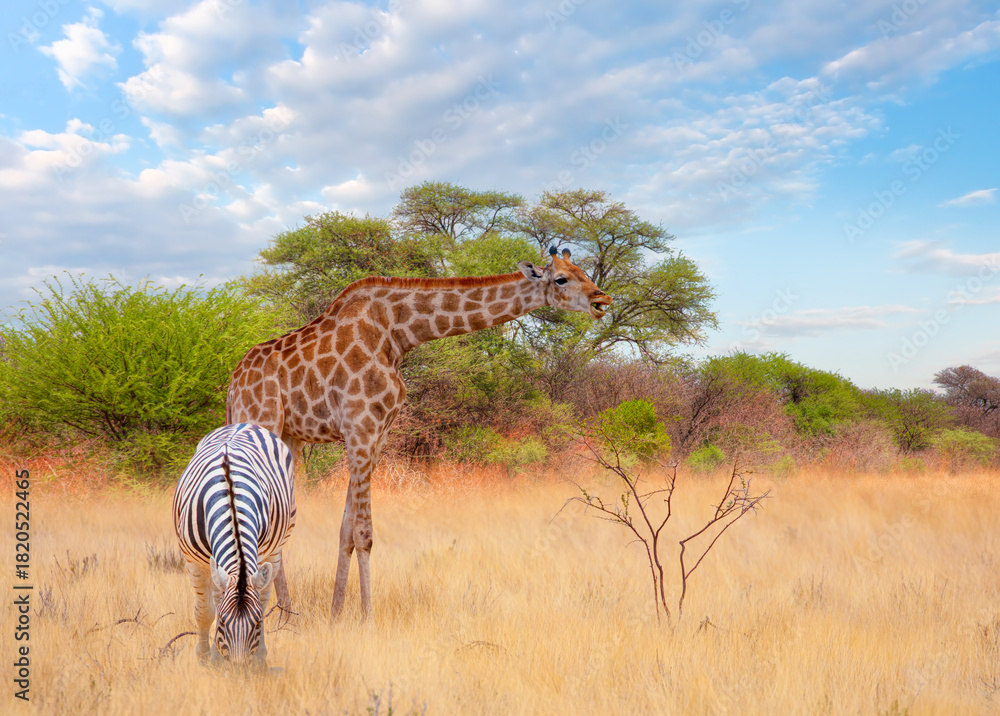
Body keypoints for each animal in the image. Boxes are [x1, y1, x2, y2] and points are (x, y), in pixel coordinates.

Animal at [173, 423, 296, 669]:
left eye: (257, 624)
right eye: (222, 622)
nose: (239, 670)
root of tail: (245, 424)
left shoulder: (259, 555)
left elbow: (260, 602)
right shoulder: (194, 562)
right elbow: (204, 612)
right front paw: (205, 657)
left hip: (276, 548)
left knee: (264, 596)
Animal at [226, 247, 612, 619]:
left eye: (584, 271)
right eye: (561, 279)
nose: (602, 299)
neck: (397, 333)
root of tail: (233, 385)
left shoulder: (376, 435)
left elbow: (346, 531)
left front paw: (336, 614)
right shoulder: (360, 428)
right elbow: (364, 533)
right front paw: (367, 618)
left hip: (288, 437)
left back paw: (287, 616)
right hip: (261, 422)